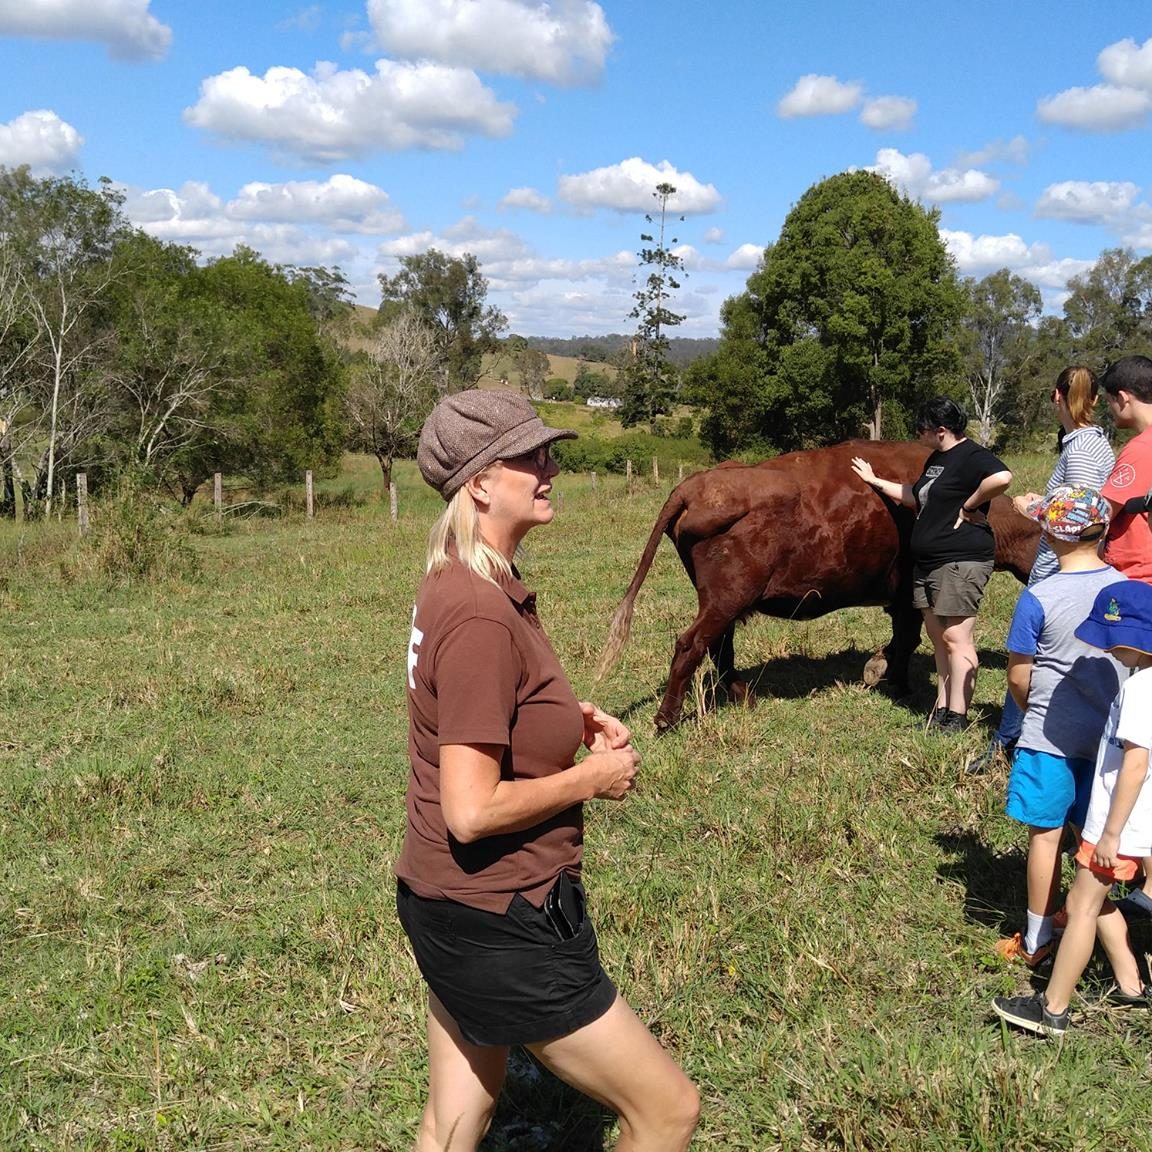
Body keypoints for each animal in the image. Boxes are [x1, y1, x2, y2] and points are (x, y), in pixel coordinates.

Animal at [599, 437, 1041, 728]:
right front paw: (891, 679)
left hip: (723, 603)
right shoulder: (907, 595)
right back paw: (668, 718)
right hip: (726, 599)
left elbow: (903, 637)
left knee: (718, 646)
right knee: (692, 644)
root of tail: (695, 486)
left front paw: (882, 671)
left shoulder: (900, 598)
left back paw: (744, 697)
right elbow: (906, 639)